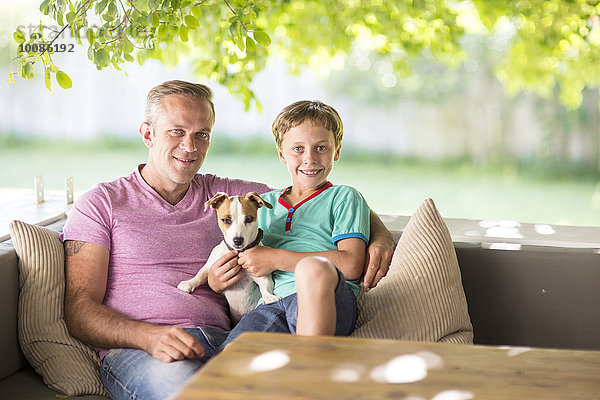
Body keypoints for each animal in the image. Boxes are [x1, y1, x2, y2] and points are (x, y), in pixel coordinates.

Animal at [178, 191, 282, 324]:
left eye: (249, 219)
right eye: (226, 220)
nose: (237, 240)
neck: (238, 253)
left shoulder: (261, 274)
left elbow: (265, 286)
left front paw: (269, 297)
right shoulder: (210, 266)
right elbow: (200, 274)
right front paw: (189, 283)